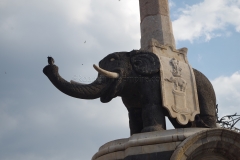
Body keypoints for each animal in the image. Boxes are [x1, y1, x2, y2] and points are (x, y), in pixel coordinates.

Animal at [43, 50, 218, 135]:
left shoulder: (151, 83)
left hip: (206, 89)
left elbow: (151, 104)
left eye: (113, 59)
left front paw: (149, 132)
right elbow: (133, 112)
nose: (50, 63)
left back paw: (205, 128)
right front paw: (135, 134)